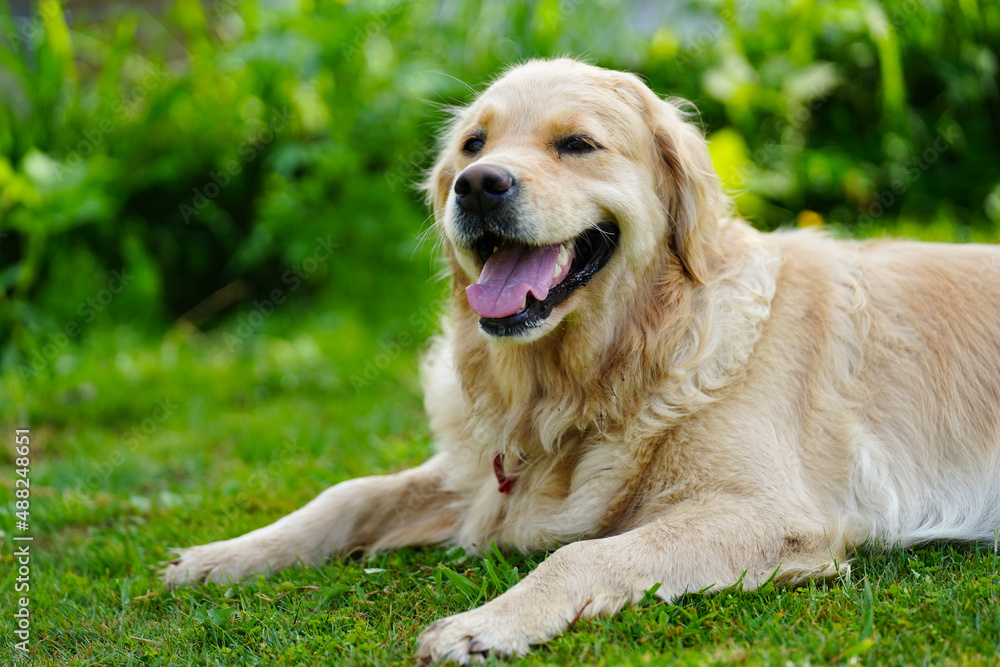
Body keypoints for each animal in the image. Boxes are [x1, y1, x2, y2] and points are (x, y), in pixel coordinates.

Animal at [164, 60, 1000, 664]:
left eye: (577, 144)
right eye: (472, 145)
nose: (477, 186)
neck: (599, 372)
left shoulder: (773, 514)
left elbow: (581, 555)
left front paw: (484, 622)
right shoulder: (479, 473)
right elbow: (346, 493)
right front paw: (222, 555)